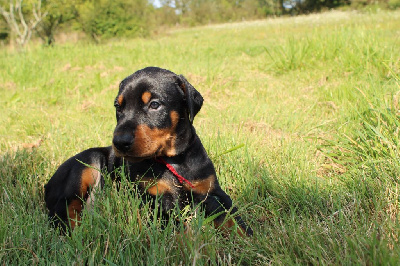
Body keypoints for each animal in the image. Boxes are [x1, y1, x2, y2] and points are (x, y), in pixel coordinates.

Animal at [44, 66, 253, 235]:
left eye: (154, 104)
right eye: (118, 106)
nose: (119, 142)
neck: (174, 160)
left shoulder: (212, 190)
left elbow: (235, 220)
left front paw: (249, 241)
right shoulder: (151, 199)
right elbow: (178, 227)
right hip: (87, 163)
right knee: (64, 210)